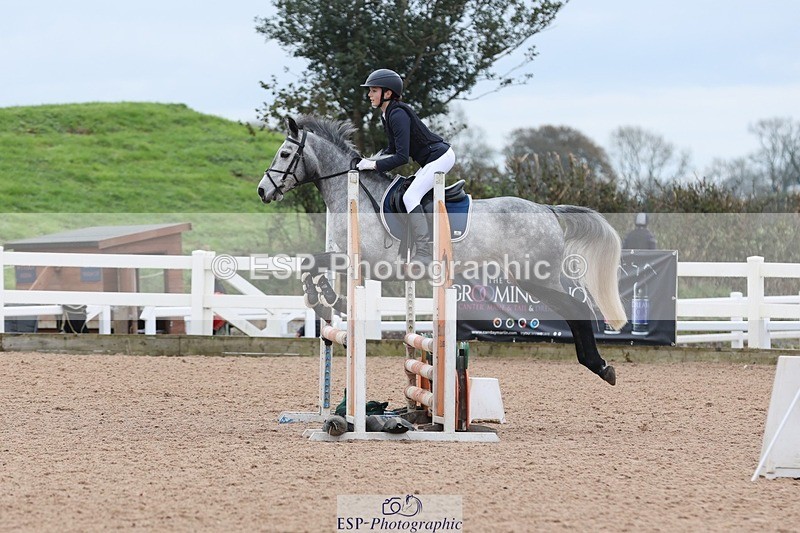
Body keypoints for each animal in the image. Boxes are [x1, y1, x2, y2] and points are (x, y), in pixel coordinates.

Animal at [258, 116, 626, 385]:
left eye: (285, 155)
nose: (263, 191)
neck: (354, 195)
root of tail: (548, 210)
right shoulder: (348, 260)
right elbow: (311, 266)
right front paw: (329, 301)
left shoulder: (363, 261)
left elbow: (310, 264)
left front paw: (328, 300)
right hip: (529, 277)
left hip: (536, 276)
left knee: (577, 307)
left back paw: (600, 366)